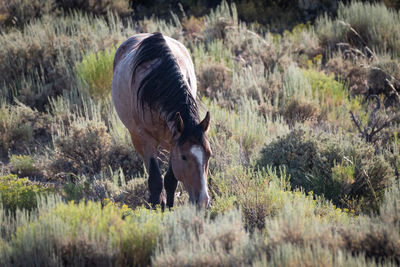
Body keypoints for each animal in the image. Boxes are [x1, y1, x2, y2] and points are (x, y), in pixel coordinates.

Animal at [111, 32, 212, 209]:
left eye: (209, 155)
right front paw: (157, 207)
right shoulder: (146, 137)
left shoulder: (174, 141)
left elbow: (171, 180)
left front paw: (170, 208)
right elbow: (155, 179)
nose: (203, 201)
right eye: (184, 157)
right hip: (136, 136)